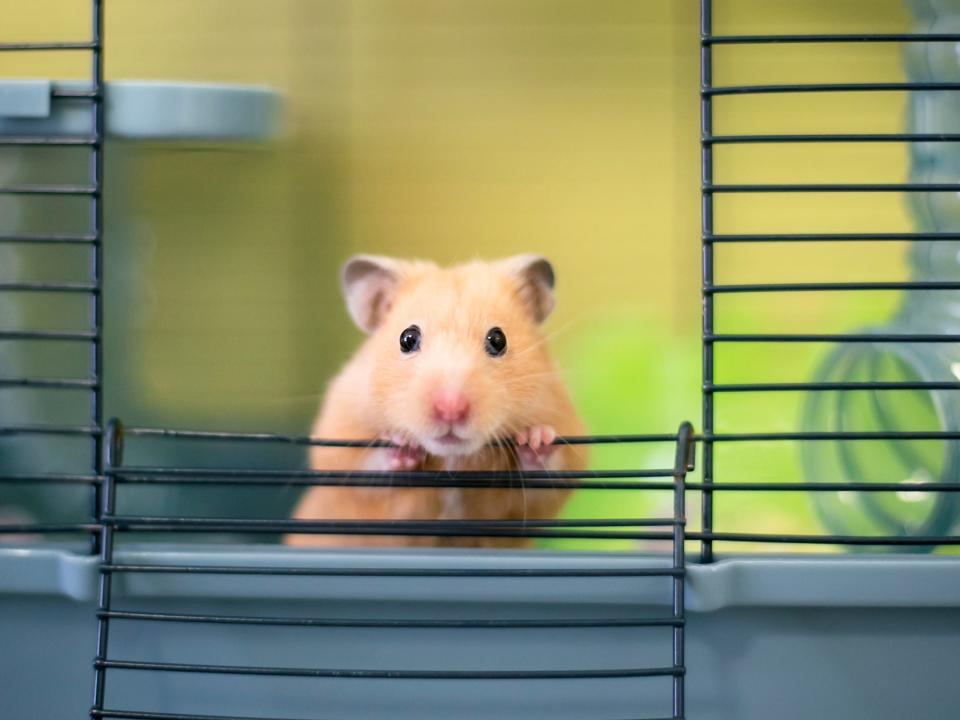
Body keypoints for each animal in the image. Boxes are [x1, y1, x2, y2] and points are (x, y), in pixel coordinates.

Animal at [284, 256, 584, 548]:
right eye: (407, 338)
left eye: (498, 339)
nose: (450, 410)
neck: (451, 457)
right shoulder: (340, 437)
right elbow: (364, 467)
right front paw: (402, 444)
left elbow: (545, 476)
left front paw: (536, 438)